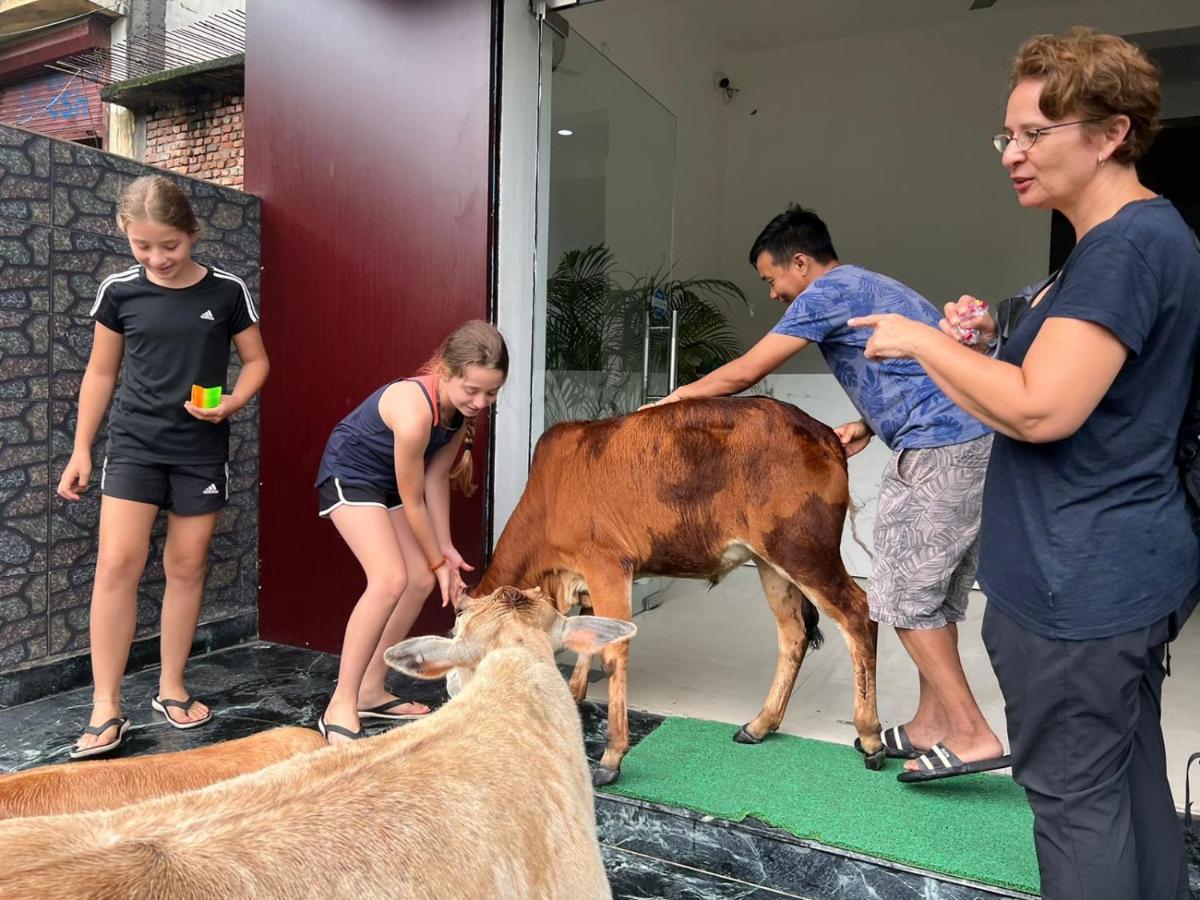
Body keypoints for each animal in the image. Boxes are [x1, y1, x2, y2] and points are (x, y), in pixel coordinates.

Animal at [475, 398, 883, 787]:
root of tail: (824, 433)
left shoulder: (607, 566)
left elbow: (612, 652)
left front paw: (610, 758)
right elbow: (589, 634)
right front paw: (574, 695)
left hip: (805, 552)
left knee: (859, 614)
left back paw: (871, 737)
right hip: (771, 564)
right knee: (793, 633)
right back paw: (760, 725)